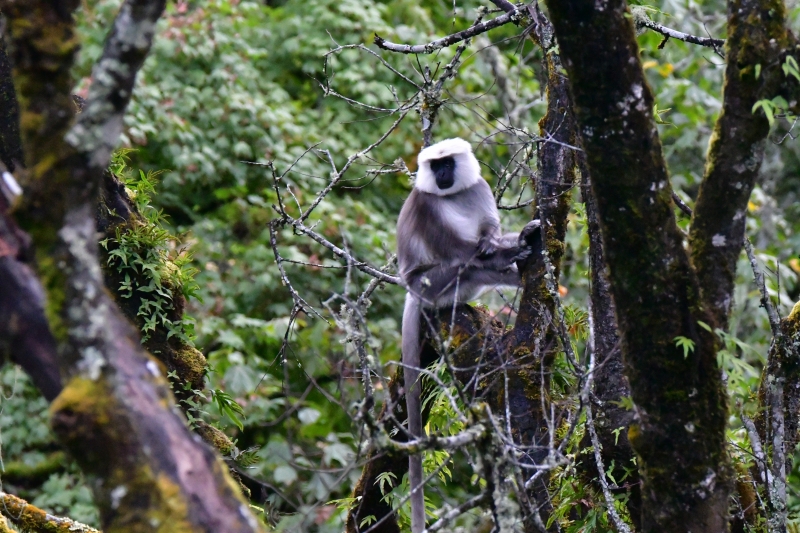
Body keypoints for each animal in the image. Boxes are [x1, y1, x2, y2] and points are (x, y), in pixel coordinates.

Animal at [396, 137, 542, 533]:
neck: (451, 196)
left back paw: (518, 265)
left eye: (448, 163)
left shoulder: (478, 188)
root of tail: (412, 293)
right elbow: (466, 251)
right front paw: (511, 246)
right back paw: (513, 254)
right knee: (468, 264)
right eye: (435, 166)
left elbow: (488, 231)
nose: (443, 174)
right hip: (431, 285)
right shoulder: (428, 208)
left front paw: (512, 238)